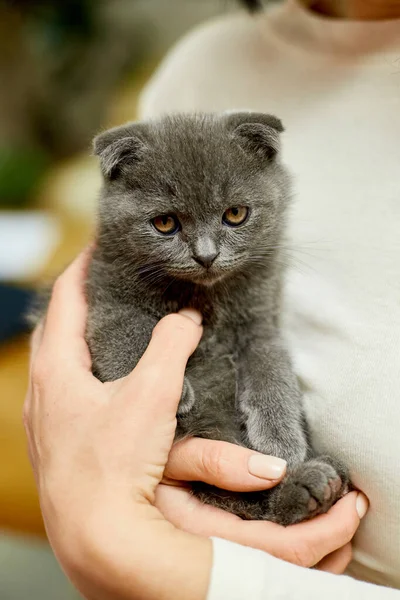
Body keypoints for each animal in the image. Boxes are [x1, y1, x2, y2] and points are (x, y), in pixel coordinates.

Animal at [39, 112, 350, 524]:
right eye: (165, 223)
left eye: (235, 214)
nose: (206, 255)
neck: (205, 296)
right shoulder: (105, 299)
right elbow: (128, 332)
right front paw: (178, 392)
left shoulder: (261, 323)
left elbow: (273, 372)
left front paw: (282, 441)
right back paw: (311, 486)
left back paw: (318, 481)